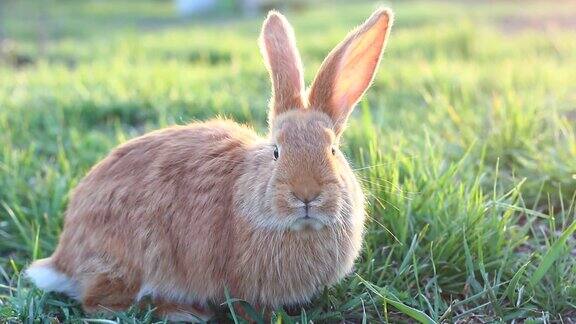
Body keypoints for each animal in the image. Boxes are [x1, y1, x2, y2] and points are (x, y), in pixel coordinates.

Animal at [24, 7, 394, 322]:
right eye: (276, 151)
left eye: (333, 150)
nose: (306, 195)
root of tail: (64, 258)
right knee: (100, 303)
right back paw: (182, 311)